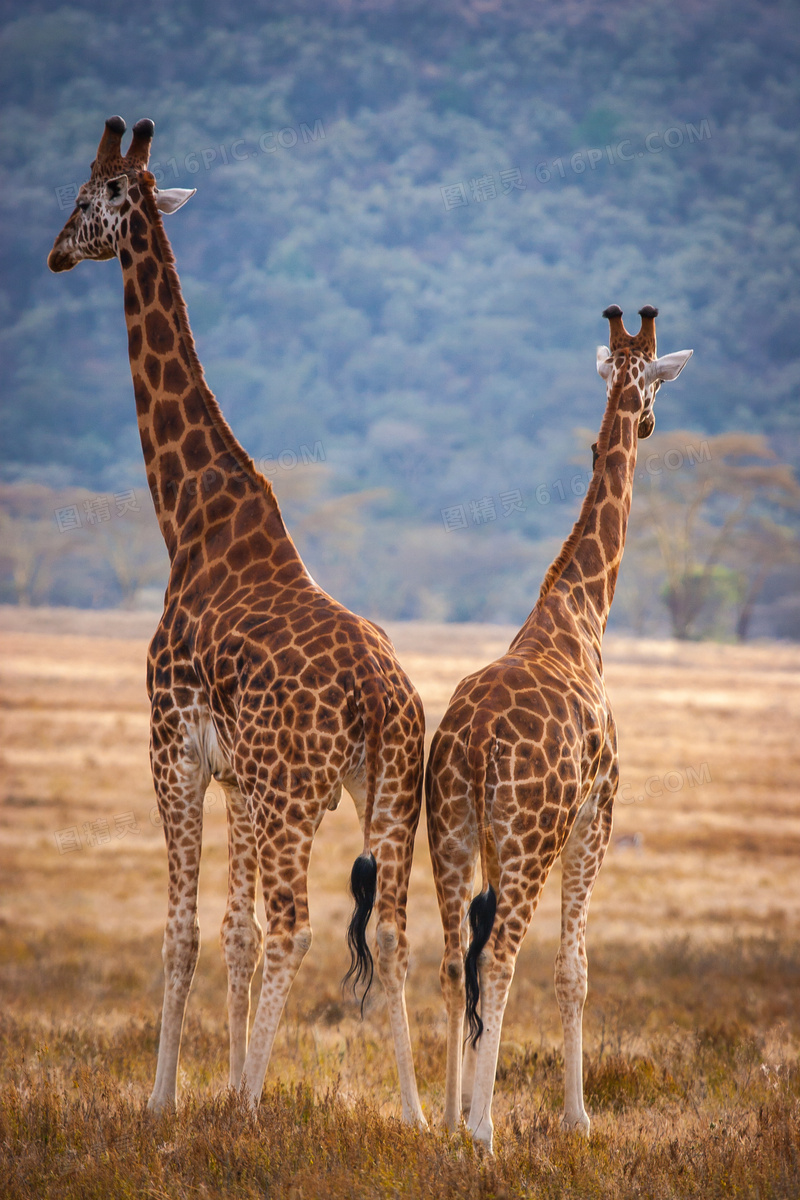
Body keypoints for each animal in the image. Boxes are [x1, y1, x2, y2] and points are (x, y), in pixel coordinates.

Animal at [47, 117, 429, 1118]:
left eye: (87, 193)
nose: (54, 253)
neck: (188, 518)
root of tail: (384, 695)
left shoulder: (173, 745)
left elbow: (187, 930)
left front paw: (168, 1103)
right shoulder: (240, 780)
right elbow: (234, 930)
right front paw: (216, 1084)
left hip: (300, 793)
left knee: (301, 924)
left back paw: (255, 1107)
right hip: (387, 789)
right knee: (397, 929)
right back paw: (419, 1117)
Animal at [424, 304, 695, 1147]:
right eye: (656, 384)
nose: (648, 422)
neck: (581, 611)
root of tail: (476, 742)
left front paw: (469, 1112)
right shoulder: (596, 815)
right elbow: (573, 969)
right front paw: (578, 1119)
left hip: (450, 827)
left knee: (452, 957)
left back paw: (449, 1126)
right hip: (530, 834)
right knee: (501, 957)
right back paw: (482, 1133)